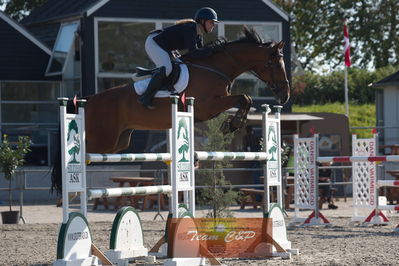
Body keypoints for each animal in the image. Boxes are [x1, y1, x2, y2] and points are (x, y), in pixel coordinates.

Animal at [86, 27, 290, 154]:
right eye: (274, 64)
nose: (285, 95)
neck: (216, 67)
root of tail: (89, 101)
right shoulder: (208, 105)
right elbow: (244, 97)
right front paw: (233, 124)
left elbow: (246, 99)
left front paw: (232, 123)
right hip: (102, 141)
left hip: (118, 142)